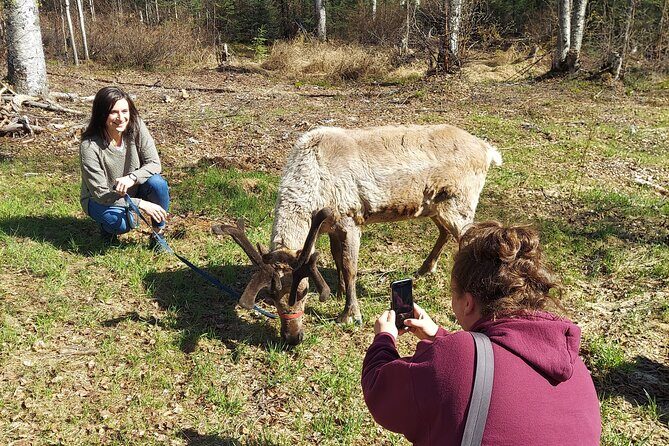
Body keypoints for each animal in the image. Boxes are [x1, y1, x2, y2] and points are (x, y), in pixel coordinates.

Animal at [213, 124, 502, 345]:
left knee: (468, 237)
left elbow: (351, 266)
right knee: (444, 232)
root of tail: (489, 151)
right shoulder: (330, 225)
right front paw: (339, 291)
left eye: (304, 292)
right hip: (436, 206)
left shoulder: (350, 218)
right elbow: (336, 258)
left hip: (461, 203)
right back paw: (424, 268)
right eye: (271, 296)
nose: (292, 337)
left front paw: (350, 314)